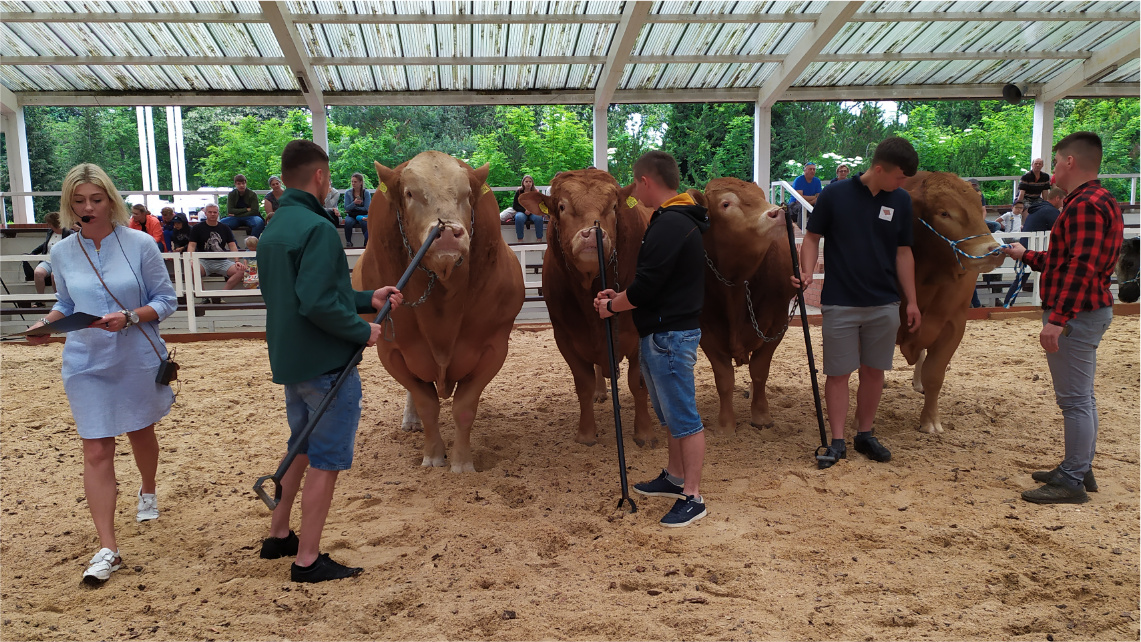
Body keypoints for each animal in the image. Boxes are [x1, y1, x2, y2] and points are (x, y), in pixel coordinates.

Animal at [351, 150, 524, 472]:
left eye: (467, 194)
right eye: (410, 193)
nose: (447, 233)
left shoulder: (494, 347)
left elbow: (464, 408)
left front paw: (462, 462)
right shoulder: (392, 351)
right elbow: (426, 404)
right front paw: (433, 455)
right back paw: (411, 421)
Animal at [515, 173, 652, 449]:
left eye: (614, 207)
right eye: (562, 206)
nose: (592, 234)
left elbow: (638, 382)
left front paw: (644, 432)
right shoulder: (566, 337)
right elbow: (584, 385)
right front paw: (586, 434)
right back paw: (601, 391)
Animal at [689, 177, 798, 435]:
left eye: (761, 196)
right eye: (726, 203)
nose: (778, 212)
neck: (736, 286)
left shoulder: (778, 324)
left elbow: (759, 371)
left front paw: (761, 416)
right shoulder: (706, 331)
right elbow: (724, 378)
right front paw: (725, 425)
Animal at [894, 171, 1004, 435]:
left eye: (979, 210)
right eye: (944, 213)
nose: (994, 250)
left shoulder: (954, 324)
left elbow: (935, 374)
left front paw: (930, 421)